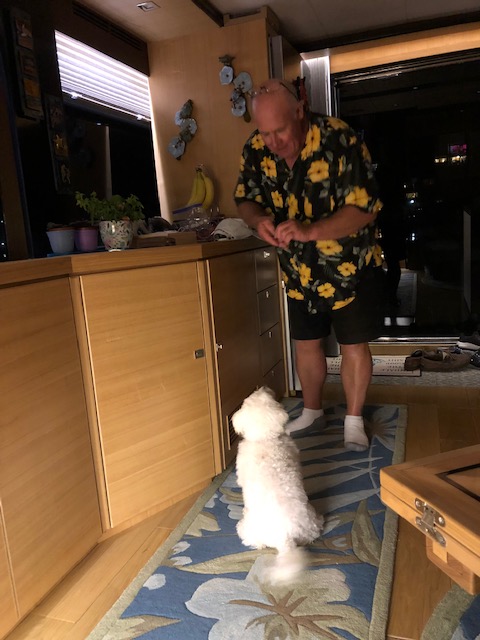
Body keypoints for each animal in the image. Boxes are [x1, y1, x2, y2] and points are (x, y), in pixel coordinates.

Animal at [232, 386, 323, 584]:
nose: (264, 386)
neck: (264, 437)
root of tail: (284, 536)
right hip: (309, 523)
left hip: (248, 526)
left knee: (253, 539)